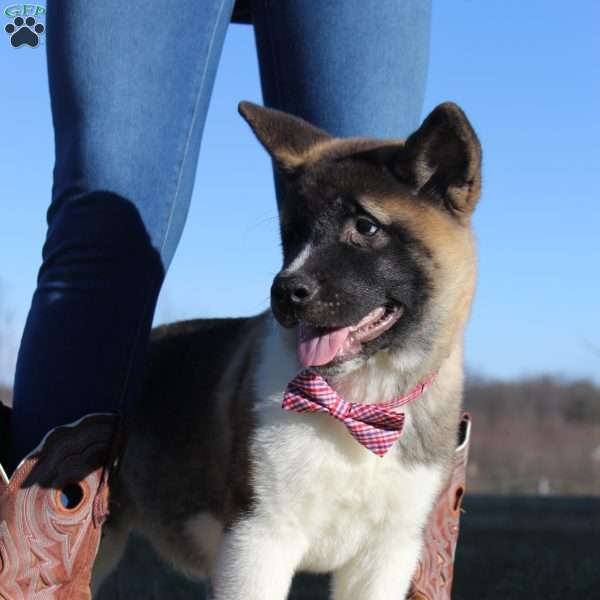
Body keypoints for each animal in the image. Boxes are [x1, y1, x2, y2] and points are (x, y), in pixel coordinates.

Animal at [98, 101, 482, 596]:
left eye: (365, 226)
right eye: (292, 236)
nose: (284, 292)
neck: (358, 401)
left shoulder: (386, 556)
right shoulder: (257, 540)